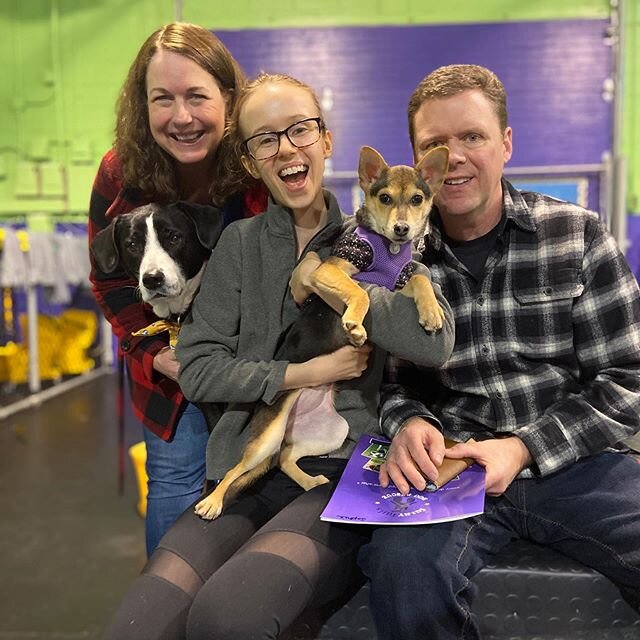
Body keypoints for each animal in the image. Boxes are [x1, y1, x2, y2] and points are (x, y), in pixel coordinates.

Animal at [195, 145, 450, 520]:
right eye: (385, 198)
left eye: (417, 199)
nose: (402, 229)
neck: (387, 250)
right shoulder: (330, 271)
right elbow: (360, 291)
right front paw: (355, 324)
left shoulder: (398, 281)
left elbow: (419, 279)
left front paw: (431, 312)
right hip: (267, 435)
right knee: (235, 470)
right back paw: (212, 502)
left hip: (330, 432)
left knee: (286, 458)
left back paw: (310, 480)